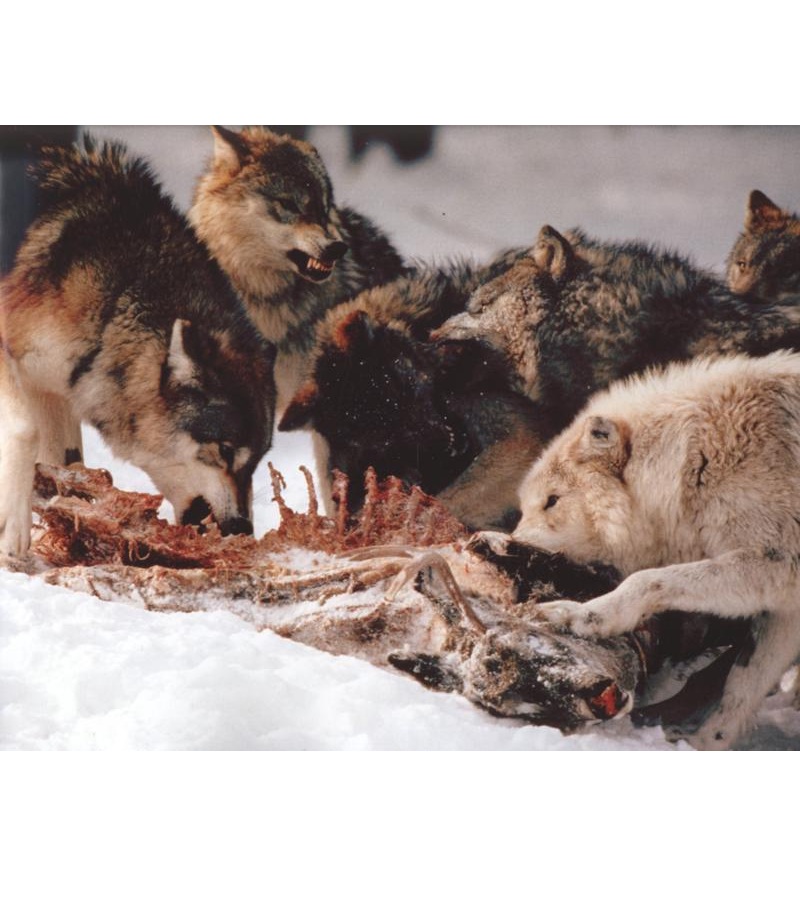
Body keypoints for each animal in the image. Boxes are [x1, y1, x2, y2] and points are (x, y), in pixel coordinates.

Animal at [0, 138, 276, 556]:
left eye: (257, 460)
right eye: (225, 451)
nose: (242, 530)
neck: (111, 302)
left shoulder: (52, 385)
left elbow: (70, 465)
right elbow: (23, 431)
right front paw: (13, 532)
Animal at [512, 351, 800, 749]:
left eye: (551, 501)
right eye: (525, 507)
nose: (511, 543)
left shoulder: (778, 562)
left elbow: (646, 580)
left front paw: (581, 616)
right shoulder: (786, 604)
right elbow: (742, 684)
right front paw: (704, 743)